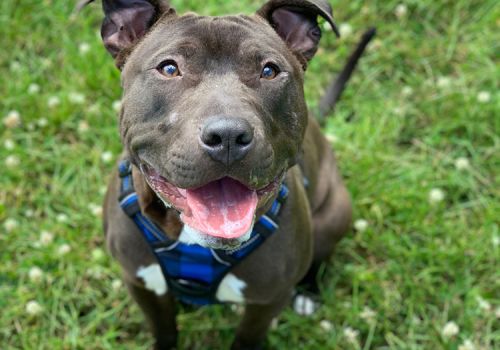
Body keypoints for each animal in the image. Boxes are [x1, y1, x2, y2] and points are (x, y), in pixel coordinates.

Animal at [81, 0, 372, 348]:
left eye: (269, 71)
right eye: (169, 68)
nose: (228, 135)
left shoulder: (267, 302)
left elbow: (247, 338)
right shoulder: (140, 284)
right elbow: (164, 329)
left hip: (335, 214)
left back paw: (308, 294)